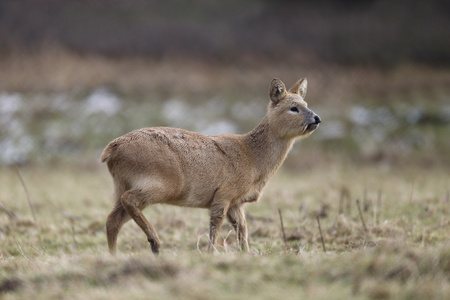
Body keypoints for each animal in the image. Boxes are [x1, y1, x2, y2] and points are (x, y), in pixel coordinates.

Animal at [101, 78, 320, 255]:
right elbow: (217, 223)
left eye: (306, 104)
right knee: (128, 201)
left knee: (113, 219)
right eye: (293, 108)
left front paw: (246, 253)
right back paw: (155, 242)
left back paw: (114, 255)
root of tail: (111, 149)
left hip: (124, 184)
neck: (253, 158)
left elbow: (242, 228)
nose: (317, 118)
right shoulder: (224, 193)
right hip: (162, 183)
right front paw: (211, 252)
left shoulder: (236, 202)